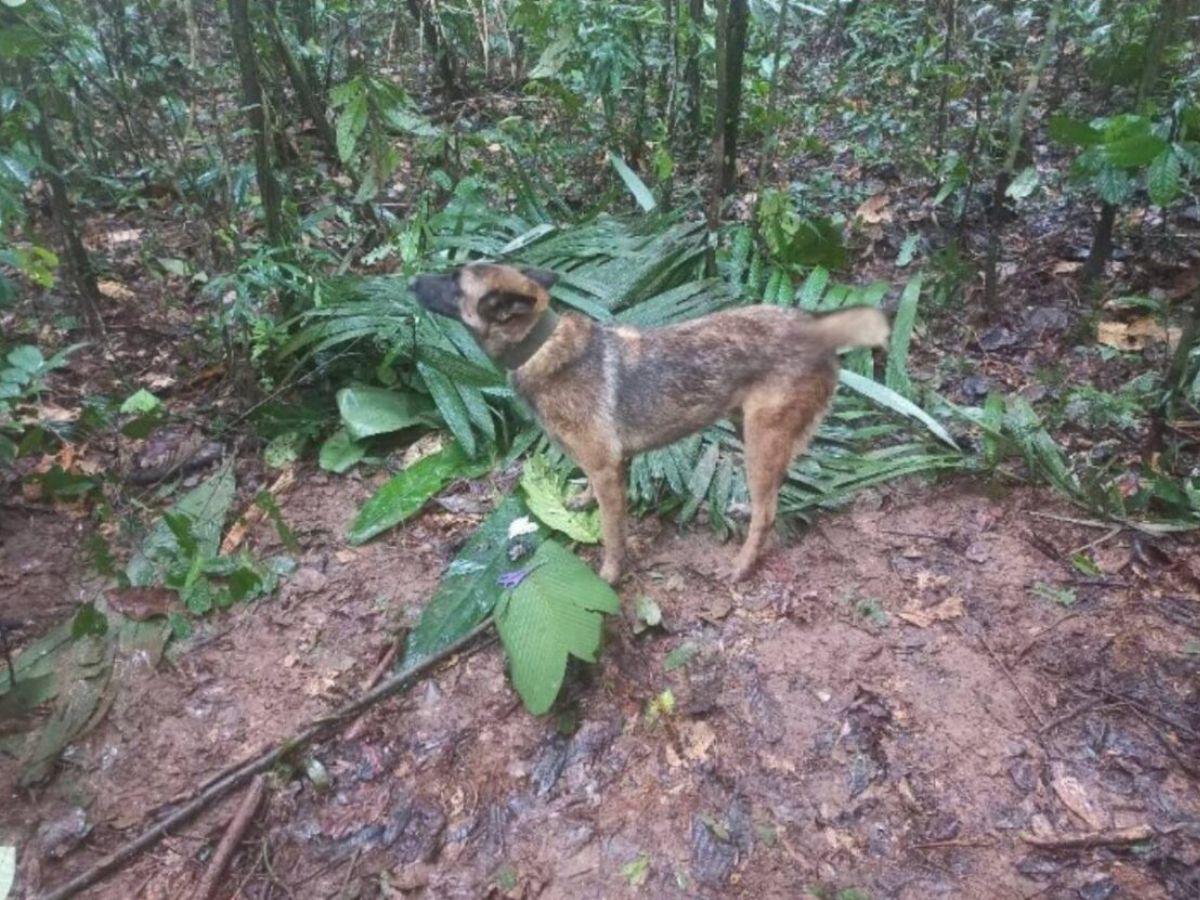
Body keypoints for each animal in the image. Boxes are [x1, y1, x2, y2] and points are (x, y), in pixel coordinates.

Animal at [415, 262, 892, 585]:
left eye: (454, 281)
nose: (411, 280)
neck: (539, 346)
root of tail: (816, 328)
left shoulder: (607, 468)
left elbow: (612, 534)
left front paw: (610, 575)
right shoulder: (611, 465)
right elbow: (593, 497)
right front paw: (582, 501)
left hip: (761, 437)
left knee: (768, 512)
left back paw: (741, 565)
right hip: (750, 430)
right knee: (775, 488)